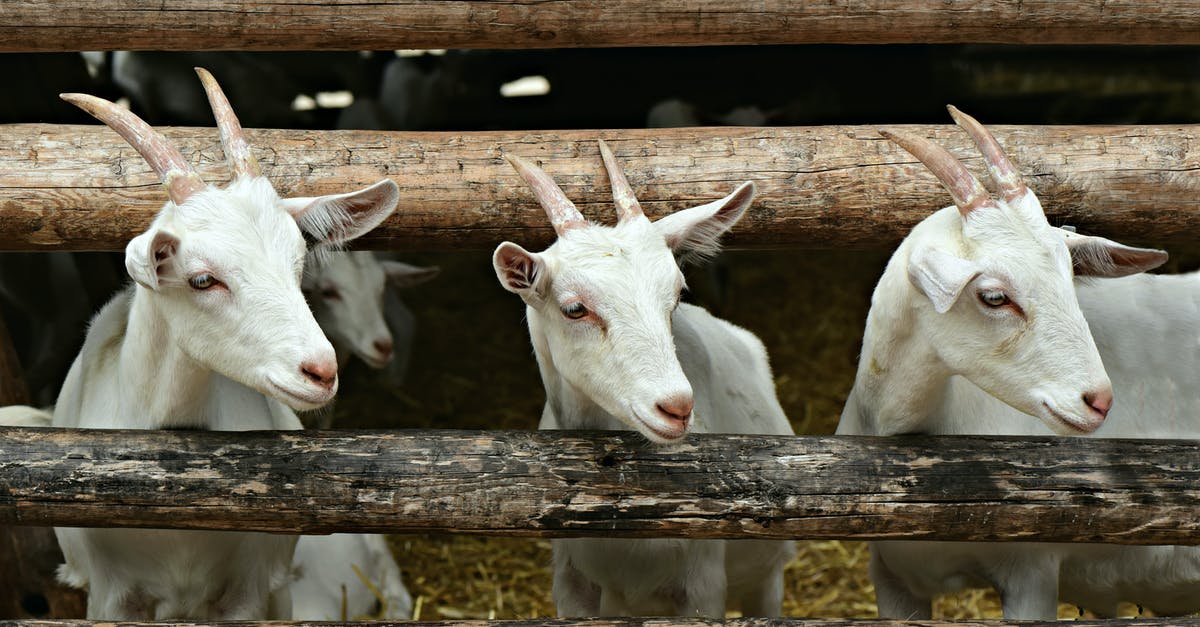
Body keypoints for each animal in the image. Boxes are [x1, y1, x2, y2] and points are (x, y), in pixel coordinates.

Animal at [493, 140, 795, 617]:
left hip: (768, 574)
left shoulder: (703, 584)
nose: (676, 407)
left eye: (677, 292)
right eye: (574, 308)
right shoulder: (572, 580)